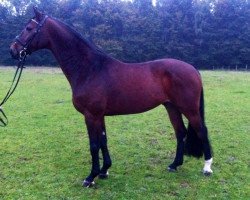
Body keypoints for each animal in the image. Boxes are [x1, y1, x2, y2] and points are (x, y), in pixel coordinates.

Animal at [9, 7, 213, 187]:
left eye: (29, 28)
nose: (13, 49)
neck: (90, 69)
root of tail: (193, 69)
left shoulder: (91, 115)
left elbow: (93, 145)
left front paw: (90, 177)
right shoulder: (99, 115)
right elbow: (103, 140)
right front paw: (104, 170)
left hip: (189, 109)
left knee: (202, 131)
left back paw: (207, 168)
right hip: (172, 107)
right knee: (180, 133)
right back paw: (174, 165)